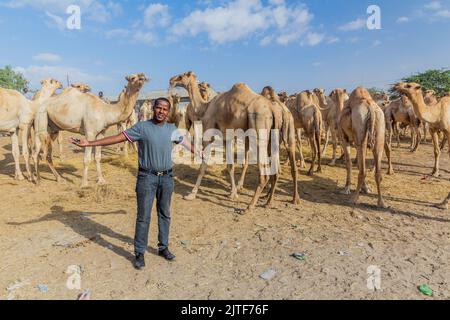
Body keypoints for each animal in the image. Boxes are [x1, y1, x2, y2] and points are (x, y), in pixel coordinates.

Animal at [169, 71, 298, 211]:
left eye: (181, 76)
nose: (171, 80)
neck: (205, 107)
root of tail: (273, 109)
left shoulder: (209, 132)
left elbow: (203, 166)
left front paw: (191, 194)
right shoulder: (227, 136)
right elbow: (230, 166)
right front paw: (233, 193)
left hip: (259, 130)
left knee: (264, 172)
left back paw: (250, 206)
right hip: (273, 136)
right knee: (276, 168)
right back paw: (270, 201)